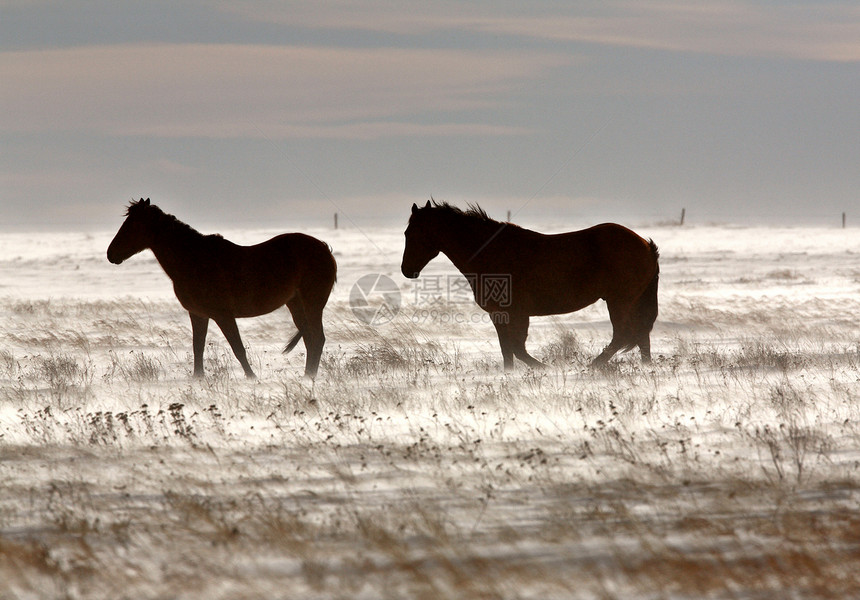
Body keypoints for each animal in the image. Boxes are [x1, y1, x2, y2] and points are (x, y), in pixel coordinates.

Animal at [105, 202, 336, 380]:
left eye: (133, 225)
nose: (110, 254)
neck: (193, 260)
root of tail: (324, 248)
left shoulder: (223, 315)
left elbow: (238, 348)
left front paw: (251, 377)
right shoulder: (198, 314)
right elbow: (198, 346)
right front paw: (198, 378)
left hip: (313, 304)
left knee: (317, 338)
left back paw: (310, 377)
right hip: (295, 304)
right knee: (310, 339)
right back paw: (307, 376)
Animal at [402, 200, 660, 370]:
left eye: (415, 233)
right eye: (406, 232)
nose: (407, 270)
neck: (491, 252)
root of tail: (645, 245)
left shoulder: (516, 313)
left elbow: (517, 349)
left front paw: (545, 368)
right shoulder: (499, 314)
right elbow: (507, 350)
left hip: (619, 301)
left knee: (624, 335)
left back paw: (593, 365)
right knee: (641, 337)